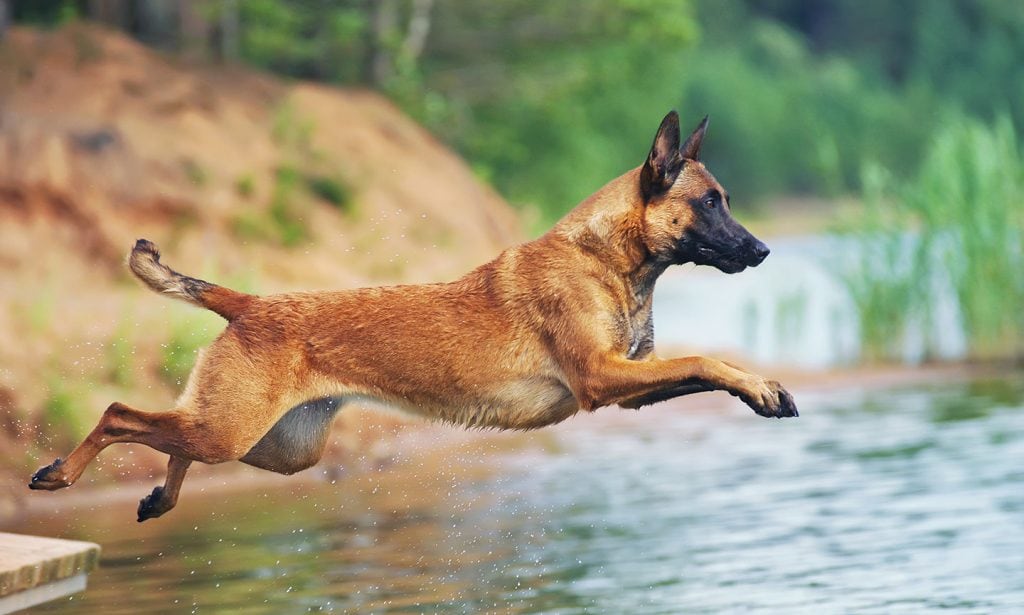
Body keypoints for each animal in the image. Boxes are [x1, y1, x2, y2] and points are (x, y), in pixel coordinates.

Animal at [29, 110, 798, 517]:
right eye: (710, 202)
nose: (763, 249)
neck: (608, 257)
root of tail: (248, 303)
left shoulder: (626, 386)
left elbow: (702, 364)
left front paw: (761, 387)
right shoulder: (603, 381)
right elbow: (707, 357)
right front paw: (762, 386)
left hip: (276, 446)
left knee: (171, 437)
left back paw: (159, 498)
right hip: (232, 428)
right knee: (120, 413)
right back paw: (60, 474)